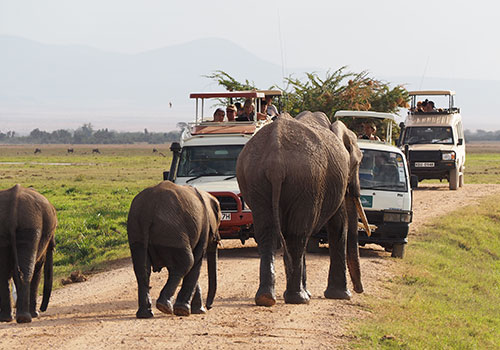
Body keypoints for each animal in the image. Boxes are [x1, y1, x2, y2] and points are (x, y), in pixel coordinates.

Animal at [0, 185, 57, 324]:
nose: (42, 309)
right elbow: (38, 269)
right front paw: (36, 314)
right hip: (31, 226)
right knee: (26, 272)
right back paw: (25, 318)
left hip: (8, 228)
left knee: (4, 273)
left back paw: (7, 318)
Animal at [128, 180, 222, 318]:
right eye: (220, 220)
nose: (209, 307)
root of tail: (148, 210)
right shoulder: (203, 228)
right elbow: (196, 263)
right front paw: (187, 310)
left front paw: (198, 310)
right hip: (172, 232)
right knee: (187, 262)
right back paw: (165, 307)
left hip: (137, 229)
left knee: (142, 269)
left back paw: (145, 314)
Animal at [235, 112, 372, 306]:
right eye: (357, 164)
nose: (359, 290)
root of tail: (275, 163)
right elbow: (338, 224)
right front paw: (342, 295)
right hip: (305, 181)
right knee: (297, 235)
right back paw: (298, 298)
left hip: (256, 179)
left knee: (268, 233)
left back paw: (267, 298)